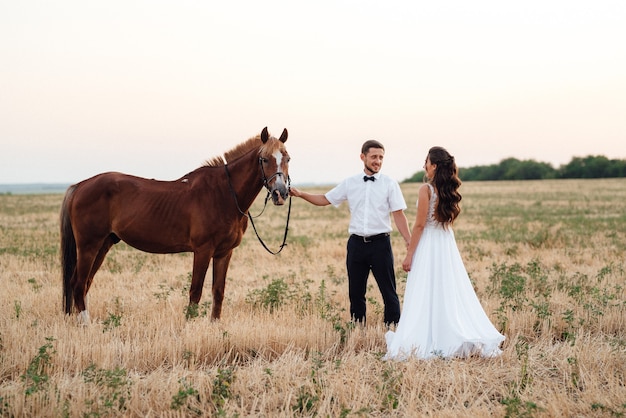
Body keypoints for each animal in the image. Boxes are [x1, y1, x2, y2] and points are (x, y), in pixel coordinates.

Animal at [59, 127, 288, 324]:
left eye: (287, 158)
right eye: (264, 159)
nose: (281, 193)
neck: (224, 193)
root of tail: (79, 186)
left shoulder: (224, 253)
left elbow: (218, 292)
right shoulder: (203, 250)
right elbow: (195, 291)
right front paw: (188, 328)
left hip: (103, 244)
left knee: (85, 283)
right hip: (88, 246)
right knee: (78, 284)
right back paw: (86, 326)